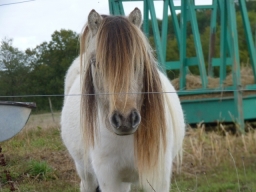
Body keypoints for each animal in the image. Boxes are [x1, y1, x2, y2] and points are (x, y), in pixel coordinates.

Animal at [60, 7, 184, 192]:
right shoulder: (108, 177)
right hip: (85, 171)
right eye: (96, 63)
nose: (125, 119)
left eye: (139, 60)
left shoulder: (159, 174)